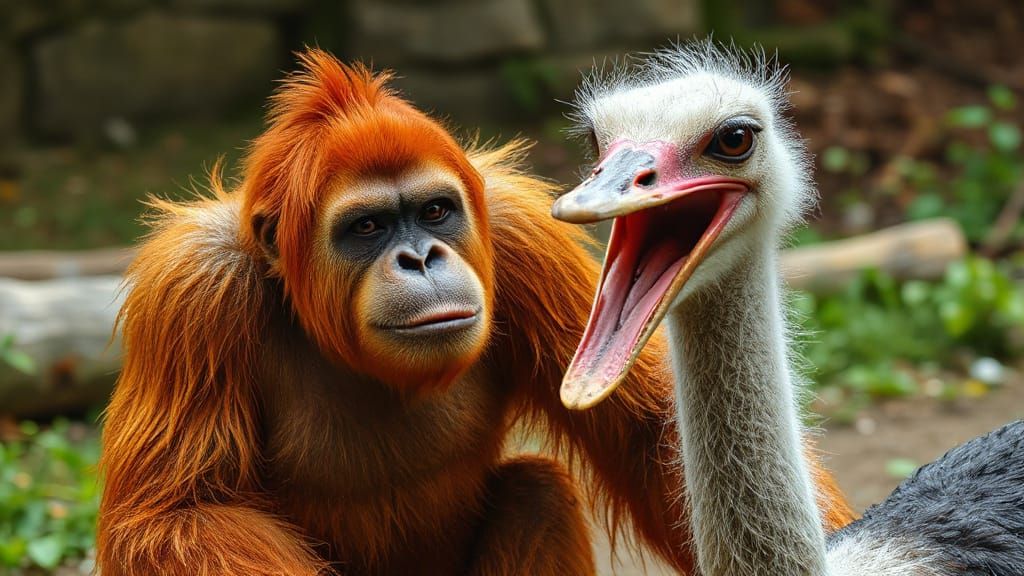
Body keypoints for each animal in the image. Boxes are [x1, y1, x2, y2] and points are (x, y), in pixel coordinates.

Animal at [97, 49, 855, 576]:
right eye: (368, 227)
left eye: (434, 212)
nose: (420, 257)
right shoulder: (194, 289)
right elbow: (175, 518)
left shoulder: (517, 235)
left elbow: (647, 433)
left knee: (536, 491)